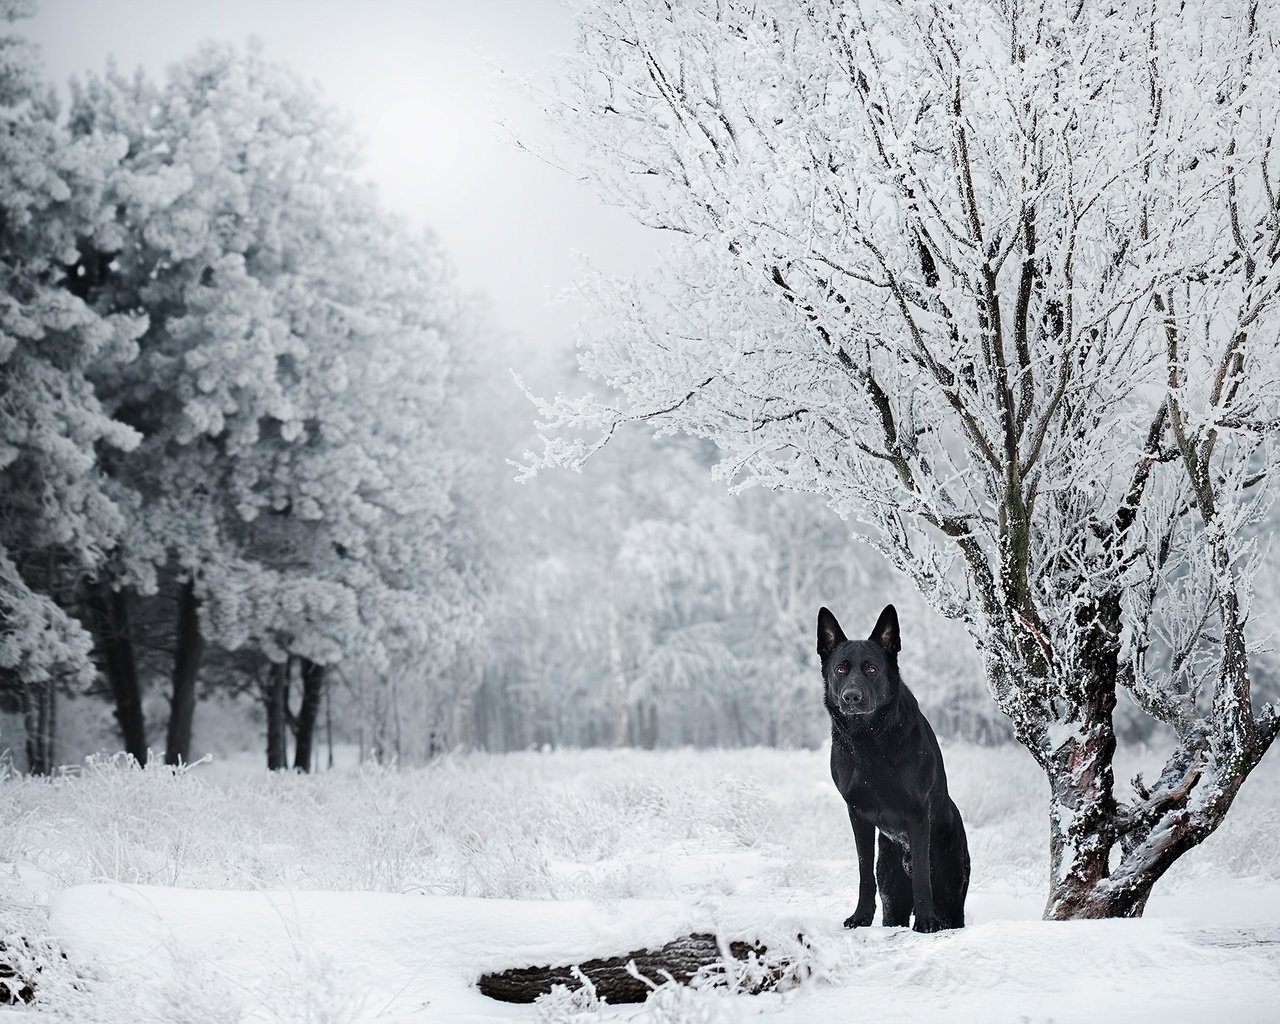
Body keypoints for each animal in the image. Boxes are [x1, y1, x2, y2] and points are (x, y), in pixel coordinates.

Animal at [819, 604, 967, 931]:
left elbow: (923, 876)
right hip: (892, 895)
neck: (868, 740)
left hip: (952, 898)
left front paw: (925, 921)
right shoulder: (857, 814)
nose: (851, 697)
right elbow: (864, 873)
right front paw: (861, 916)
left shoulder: (916, 812)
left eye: (872, 669)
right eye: (841, 669)